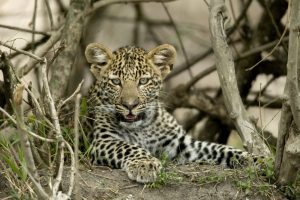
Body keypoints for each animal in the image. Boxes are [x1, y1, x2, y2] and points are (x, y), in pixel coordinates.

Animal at [83, 43, 252, 183]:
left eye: (143, 81)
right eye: (116, 82)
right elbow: (127, 147)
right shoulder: (102, 141)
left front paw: (254, 159)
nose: (130, 105)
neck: (141, 127)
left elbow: (219, 148)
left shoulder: (182, 143)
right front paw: (145, 164)